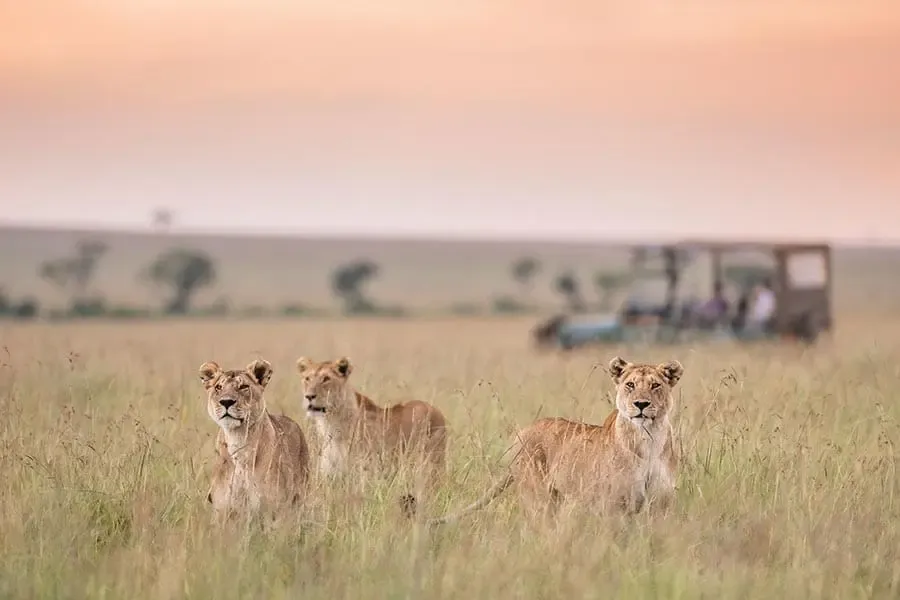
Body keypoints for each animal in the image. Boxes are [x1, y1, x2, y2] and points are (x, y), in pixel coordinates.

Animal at [199, 359, 311, 524]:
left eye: (244, 387)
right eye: (218, 387)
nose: (226, 402)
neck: (238, 438)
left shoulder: (275, 510)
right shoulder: (223, 511)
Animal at [295, 356, 448, 515]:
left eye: (326, 379)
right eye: (307, 378)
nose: (309, 396)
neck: (331, 424)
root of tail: (435, 409)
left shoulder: (365, 476)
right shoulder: (331, 478)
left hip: (431, 465)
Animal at [426, 356, 684, 525]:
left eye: (655, 385)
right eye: (630, 385)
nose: (641, 404)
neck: (648, 439)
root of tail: (523, 432)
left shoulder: (660, 505)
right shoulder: (614, 506)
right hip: (539, 499)